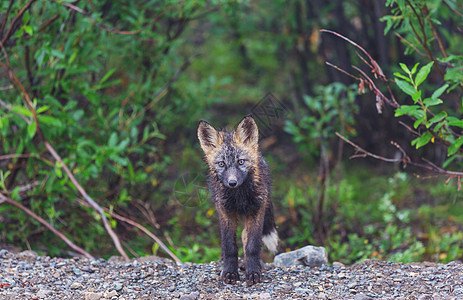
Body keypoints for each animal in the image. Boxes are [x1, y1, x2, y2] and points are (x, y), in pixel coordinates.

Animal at [197, 115, 280, 286]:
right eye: (222, 164)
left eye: (241, 162)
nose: (232, 182)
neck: (239, 197)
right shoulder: (226, 211)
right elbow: (229, 246)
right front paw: (230, 272)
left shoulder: (257, 210)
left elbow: (252, 246)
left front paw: (253, 272)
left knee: (244, 237)